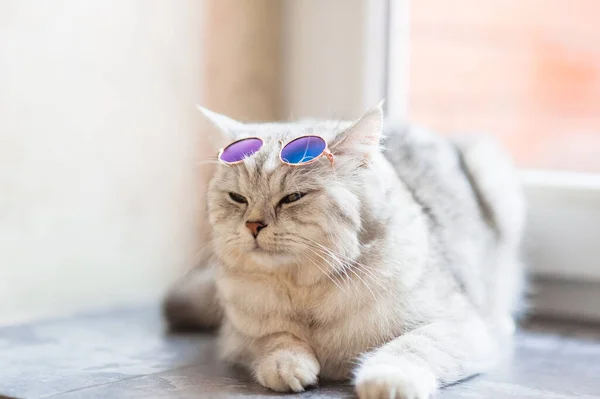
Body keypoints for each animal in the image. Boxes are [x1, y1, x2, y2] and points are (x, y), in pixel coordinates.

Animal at [164, 105, 524, 399]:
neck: (305, 287)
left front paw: (385, 380)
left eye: (293, 198)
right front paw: (289, 365)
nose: (253, 225)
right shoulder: (237, 336)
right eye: (237, 198)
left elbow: (411, 347)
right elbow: (274, 339)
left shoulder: (460, 326)